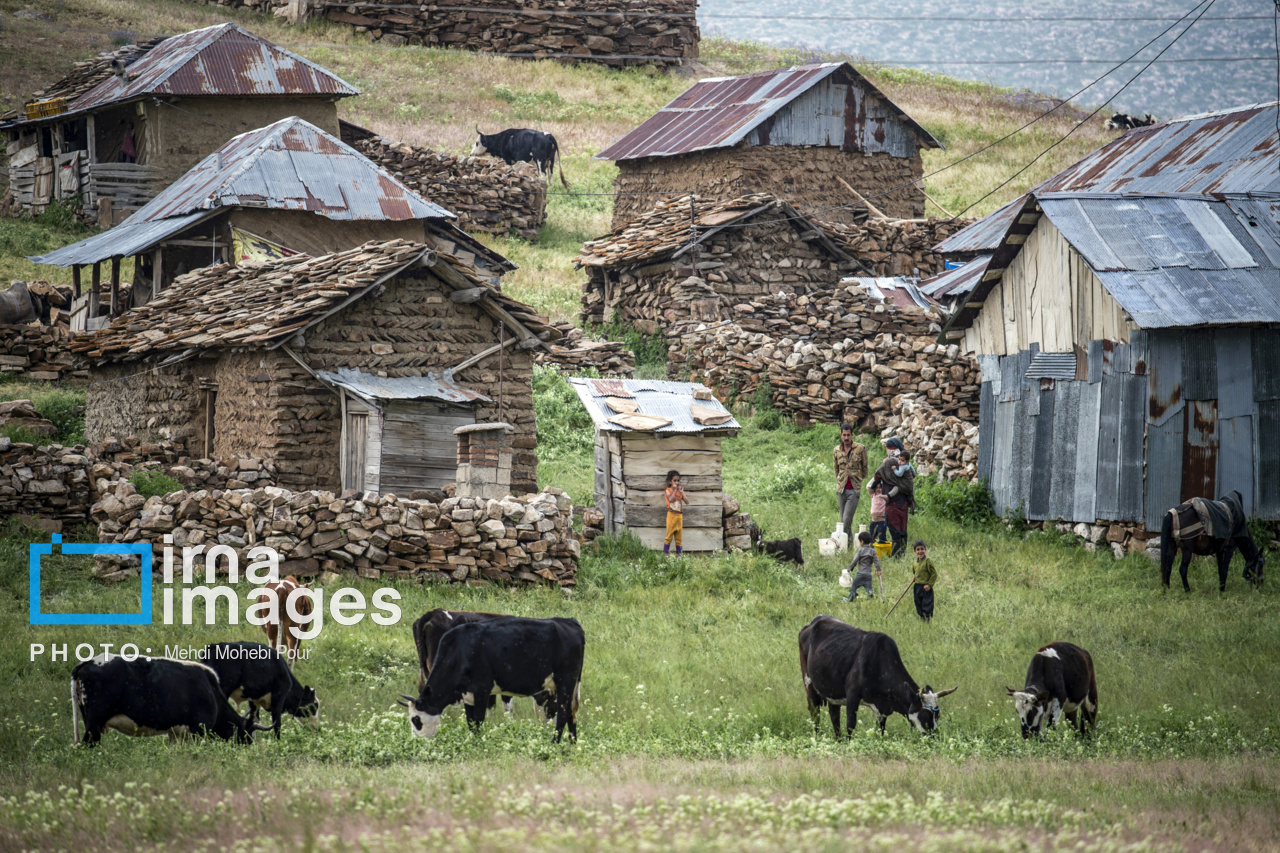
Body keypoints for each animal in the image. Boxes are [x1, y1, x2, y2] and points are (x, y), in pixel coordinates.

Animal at [396, 614, 586, 742]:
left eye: (416, 720)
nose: (416, 742)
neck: (461, 650)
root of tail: (569, 621)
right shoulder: (468, 695)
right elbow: (471, 721)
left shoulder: (482, 689)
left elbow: (479, 719)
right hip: (570, 684)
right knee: (571, 711)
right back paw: (572, 742)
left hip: (565, 681)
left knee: (563, 712)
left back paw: (554, 742)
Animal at [793, 614, 957, 732]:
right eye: (926, 715)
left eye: (938, 714)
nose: (934, 737)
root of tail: (813, 622)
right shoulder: (852, 696)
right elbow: (850, 726)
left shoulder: (882, 709)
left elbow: (880, 731)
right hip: (809, 684)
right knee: (815, 715)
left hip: (833, 694)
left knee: (835, 718)